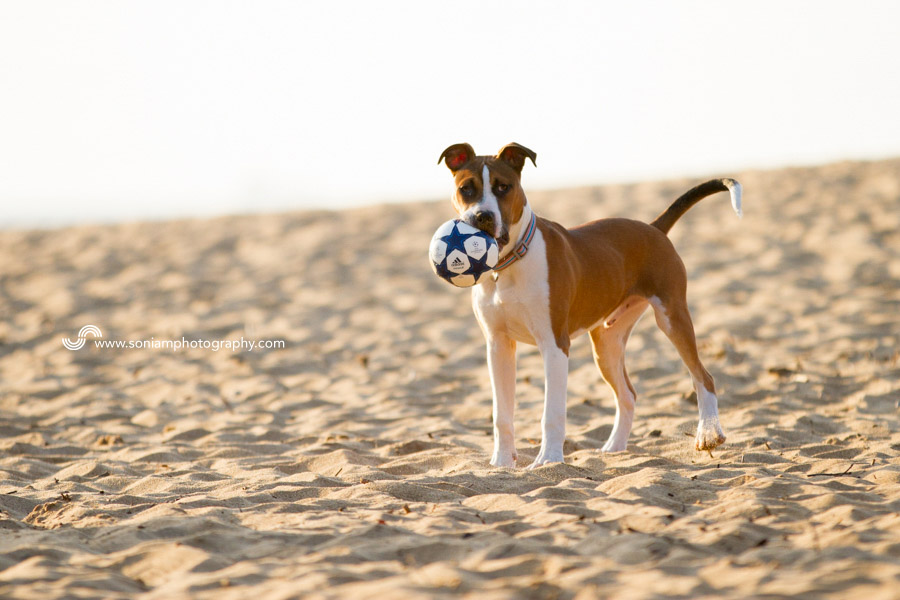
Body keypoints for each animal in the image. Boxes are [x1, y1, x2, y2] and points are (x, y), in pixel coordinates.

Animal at [440, 142, 740, 468]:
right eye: (466, 189)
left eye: (503, 187)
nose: (482, 216)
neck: (509, 263)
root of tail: (654, 228)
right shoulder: (498, 346)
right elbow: (501, 415)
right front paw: (502, 463)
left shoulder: (554, 345)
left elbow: (552, 413)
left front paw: (548, 460)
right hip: (606, 344)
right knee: (628, 395)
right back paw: (615, 447)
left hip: (672, 317)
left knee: (703, 378)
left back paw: (708, 434)